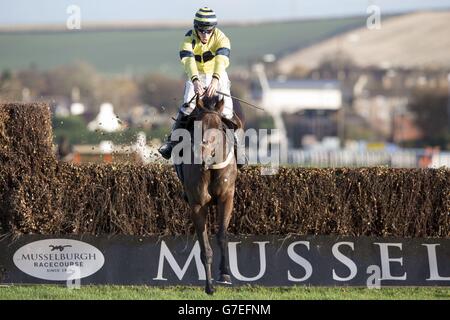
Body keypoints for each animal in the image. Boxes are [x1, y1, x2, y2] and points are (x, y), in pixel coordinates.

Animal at [178, 94, 243, 296]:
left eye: (219, 125)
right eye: (197, 125)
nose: (202, 154)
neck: (210, 167)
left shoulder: (226, 198)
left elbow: (222, 236)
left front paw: (225, 274)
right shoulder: (197, 205)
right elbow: (205, 248)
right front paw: (209, 286)